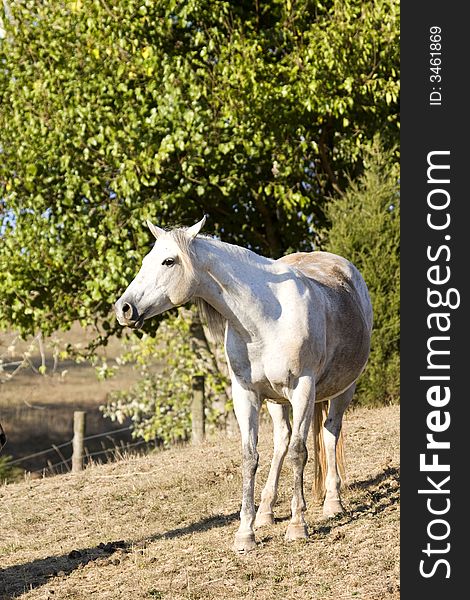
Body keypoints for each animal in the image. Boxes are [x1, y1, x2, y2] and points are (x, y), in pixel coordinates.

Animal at [115, 216, 372, 552]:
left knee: (329, 435)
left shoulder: (303, 389)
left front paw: (297, 526)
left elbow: (299, 453)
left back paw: (333, 503)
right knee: (282, 440)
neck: (265, 319)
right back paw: (266, 512)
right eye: (146, 260)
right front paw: (245, 533)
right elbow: (251, 457)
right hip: (277, 400)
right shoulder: (246, 393)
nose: (124, 308)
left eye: (168, 261)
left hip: (342, 390)